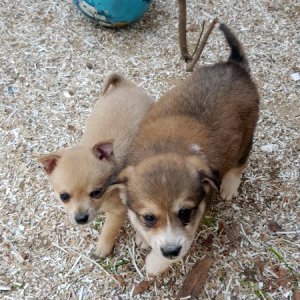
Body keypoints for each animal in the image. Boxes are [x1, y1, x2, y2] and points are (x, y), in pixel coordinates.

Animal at [38, 74, 152, 256]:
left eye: (97, 192)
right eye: (64, 196)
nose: (81, 219)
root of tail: (125, 83)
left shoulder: (117, 212)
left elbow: (108, 231)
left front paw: (102, 249)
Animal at [118, 24, 258, 276]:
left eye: (185, 212)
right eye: (149, 217)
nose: (171, 251)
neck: (165, 148)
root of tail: (234, 65)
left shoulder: (193, 223)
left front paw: (155, 263)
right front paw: (144, 238)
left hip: (247, 135)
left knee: (240, 163)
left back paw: (230, 186)